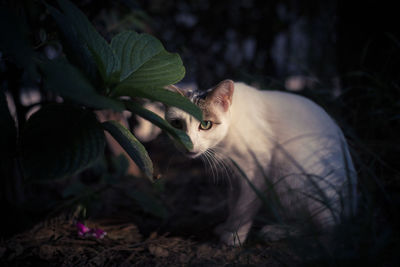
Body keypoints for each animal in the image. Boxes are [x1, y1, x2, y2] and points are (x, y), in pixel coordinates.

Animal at [164, 80, 358, 246]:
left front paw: (235, 236)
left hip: (291, 176)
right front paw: (227, 227)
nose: (188, 145)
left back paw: (278, 231)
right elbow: (234, 204)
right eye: (177, 124)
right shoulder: (234, 176)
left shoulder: (256, 168)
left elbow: (244, 207)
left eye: (205, 124)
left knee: (327, 226)